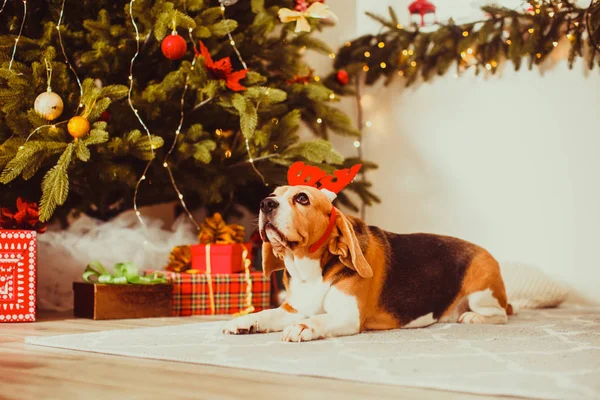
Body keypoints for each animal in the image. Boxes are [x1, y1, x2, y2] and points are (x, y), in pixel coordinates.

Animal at [223, 162, 512, 340]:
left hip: (481, 294)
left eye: (302, 198)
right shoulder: (291, 308)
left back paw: (472, 318)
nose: (265, 203)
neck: (309, 270)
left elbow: (318, 320)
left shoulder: (348, 316)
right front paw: (244, 321)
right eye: (273, 194)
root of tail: (484, 251)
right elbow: (267, 313)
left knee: (500, 315)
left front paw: (303, 327)